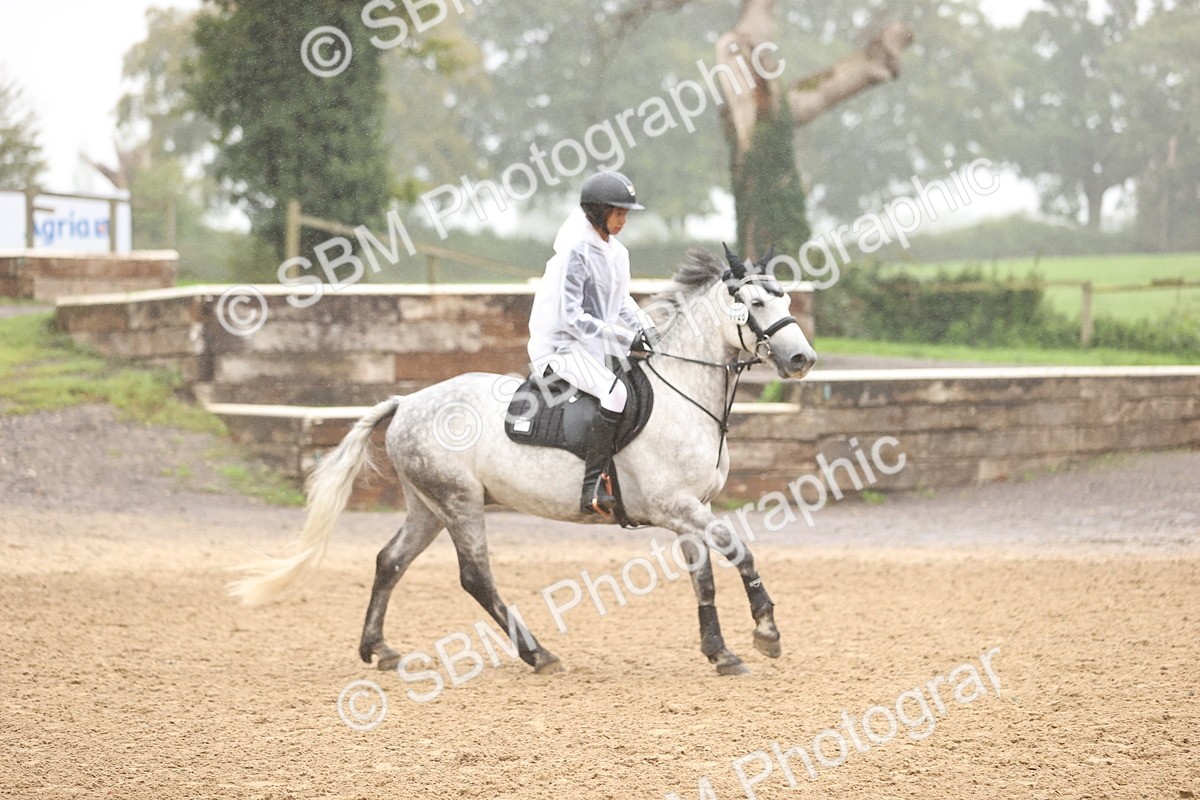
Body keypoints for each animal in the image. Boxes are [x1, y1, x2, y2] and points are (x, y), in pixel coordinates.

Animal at [230, 246, 817, 676]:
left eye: (784, 296)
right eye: (754, 304)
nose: (802, 359)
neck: (685, 391)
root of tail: (407, 402)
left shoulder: (689, 510)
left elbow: (704, 580)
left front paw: (720, 652)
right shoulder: (676, 505)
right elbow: (739, 551)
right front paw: (766, 633)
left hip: (428, 505)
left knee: (390, 561)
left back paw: (380, 648)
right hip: (460, 502)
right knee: (475, 577)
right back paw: (537, 653)